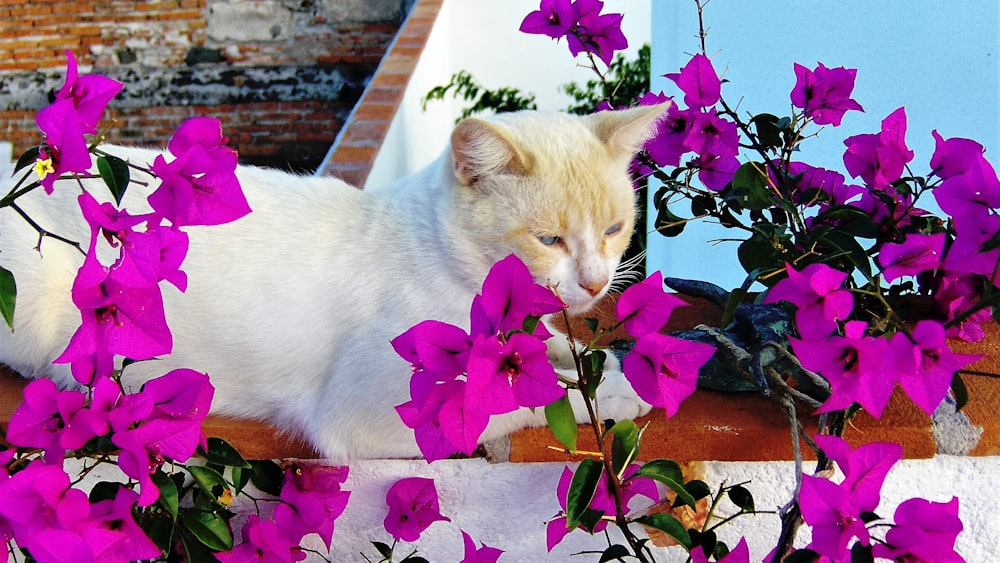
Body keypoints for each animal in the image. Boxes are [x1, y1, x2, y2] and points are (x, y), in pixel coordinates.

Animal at [1, 104, 672, 462]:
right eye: (549, 240)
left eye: (615, 229)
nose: (595, 283)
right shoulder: (370, 416)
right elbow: (518, 396)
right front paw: (614, 394)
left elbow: (557, 346)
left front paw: (603, 362)